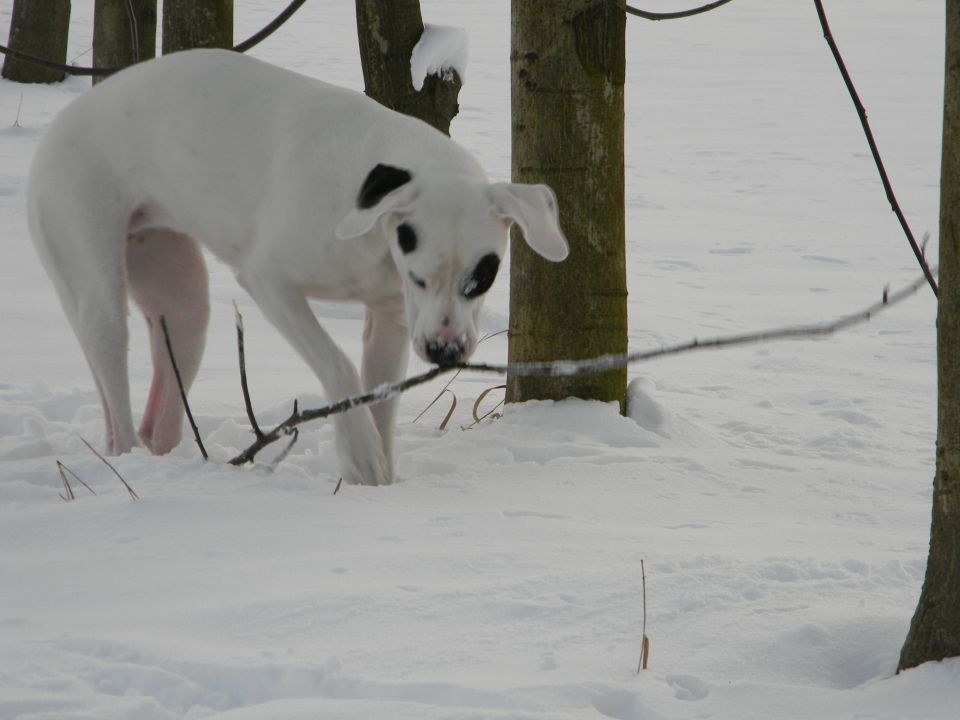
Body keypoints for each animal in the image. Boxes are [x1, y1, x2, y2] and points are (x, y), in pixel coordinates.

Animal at [28, 46, 568, 484]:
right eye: (420, 277)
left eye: (482, 278)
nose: (445, 351)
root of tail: (60, 123)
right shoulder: (270, 282)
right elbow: (338, 365)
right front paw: (359, 453)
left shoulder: (392, 317)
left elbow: (382, 394)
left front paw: (379, 477)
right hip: (95, 290)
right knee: (115, 395)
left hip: (181, 305)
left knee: (164, 398)